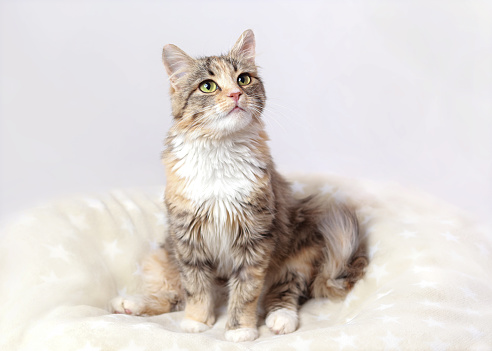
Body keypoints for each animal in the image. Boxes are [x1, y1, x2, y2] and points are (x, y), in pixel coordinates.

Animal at [110, 28, 366, 342]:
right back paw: (131, 303)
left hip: (302, 248)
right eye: (207, 86)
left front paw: (240, 329)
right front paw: (197, 321)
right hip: (160, 255)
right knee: (173, 296)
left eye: (243, 79)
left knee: (284, 292)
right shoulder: (188, 239)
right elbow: (195, 288)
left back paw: (280, 318)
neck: (220, 150)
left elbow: (246, 292)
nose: (235, 94)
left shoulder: (255, 238)